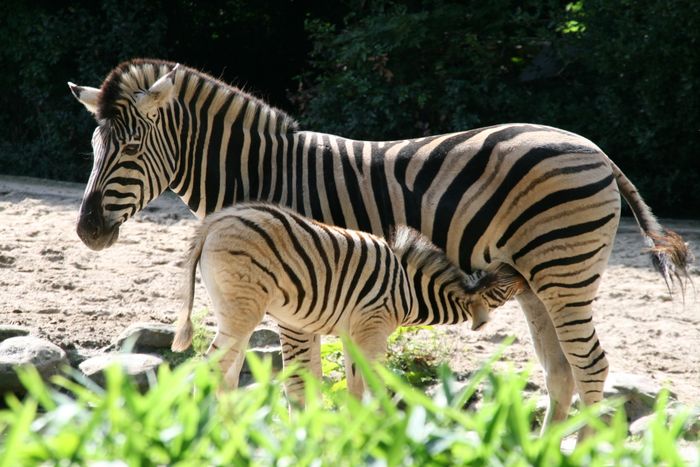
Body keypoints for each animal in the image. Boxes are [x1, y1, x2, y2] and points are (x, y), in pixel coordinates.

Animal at [168, 203, 520, 400]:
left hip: (231, 311)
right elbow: (374, 386)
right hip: (244, 309)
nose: (516, 268)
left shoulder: (354, 334)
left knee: (225, 374)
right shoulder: (373, 330)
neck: (409, 290)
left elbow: (355, 388)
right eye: (499, 290)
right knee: (210, 370)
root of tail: (216, 220)